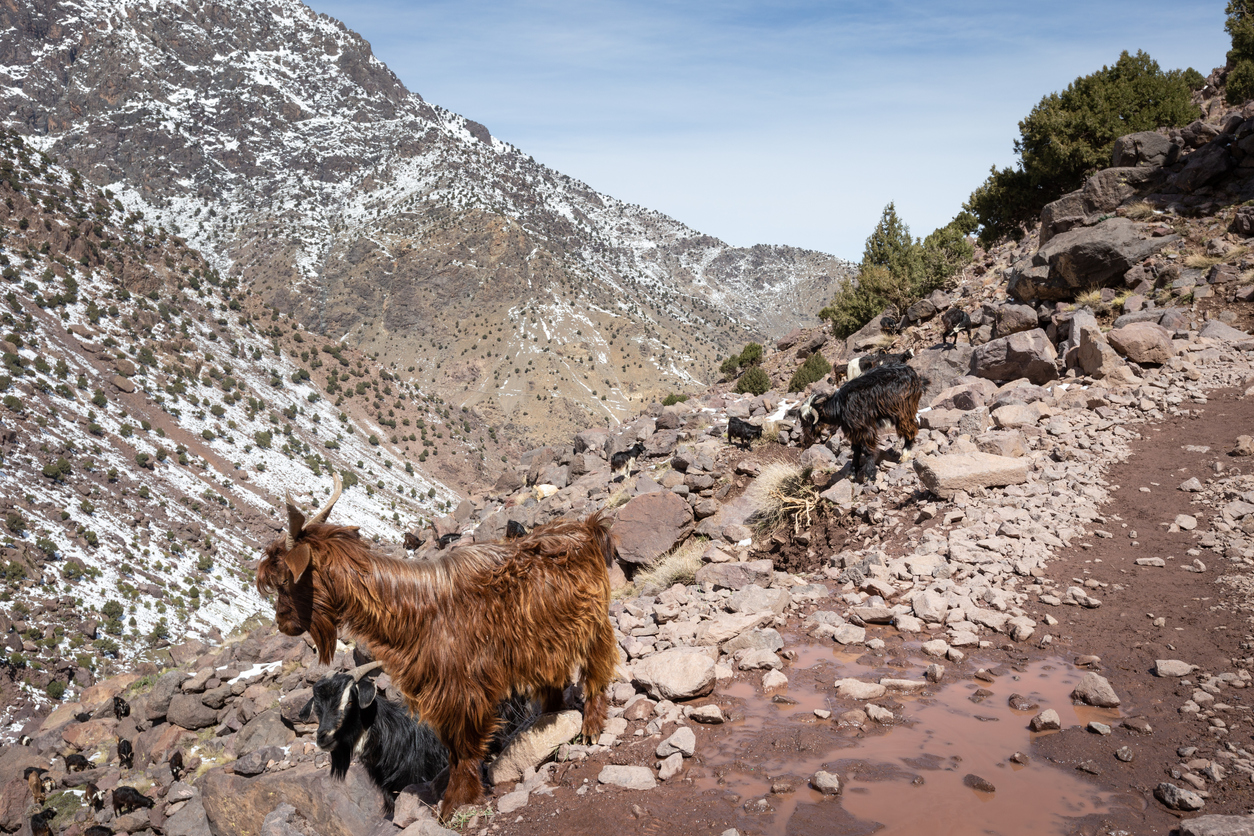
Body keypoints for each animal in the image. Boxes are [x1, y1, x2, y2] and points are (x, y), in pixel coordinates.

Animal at [256, 475, 617, 821]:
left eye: (284, 579)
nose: (282, 623)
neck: (412, 610)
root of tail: (586, 527)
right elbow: (453, 749)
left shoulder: (462, 690)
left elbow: (463, 748)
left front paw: (455, 803)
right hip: (547, 644)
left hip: (593, 623)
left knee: (598, 671)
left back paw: (591, 728)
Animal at [798, 363, 927, 483]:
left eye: (809, 421)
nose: (805, 441)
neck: (841, 405)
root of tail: (913, 373)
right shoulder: (854, 431)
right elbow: (856, 451)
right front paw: (852, 473)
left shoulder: (865, 428)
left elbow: (867, 450)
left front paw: (870, 474)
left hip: (904, 410)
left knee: (910, 429)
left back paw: (904, 455)